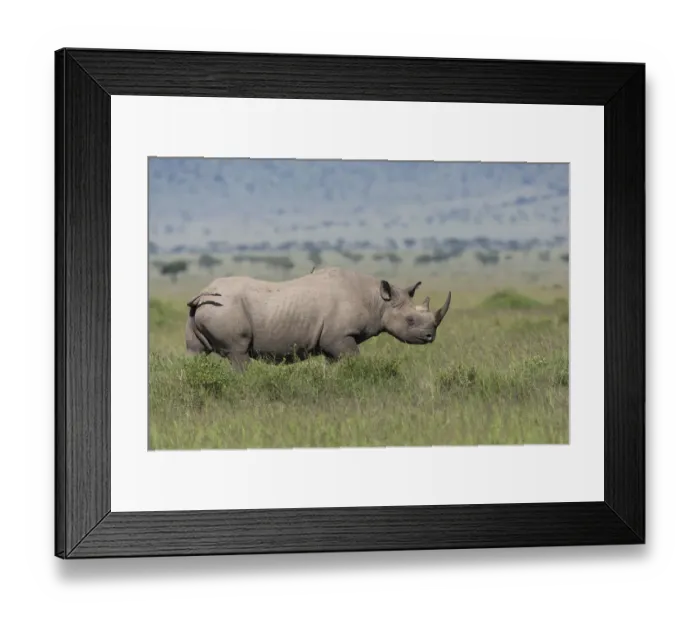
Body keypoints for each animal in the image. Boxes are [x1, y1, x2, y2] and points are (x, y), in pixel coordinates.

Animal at [184, 266, 451, 371]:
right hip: (224, 309)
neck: (378, 301)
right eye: (410, 321)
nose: (430, 336)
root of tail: (202, 293)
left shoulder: (331, 342)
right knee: (238, 354)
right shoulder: (340, 337)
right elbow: (353, 360)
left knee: (195, 352)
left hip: (204, 312)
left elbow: (331, 366)